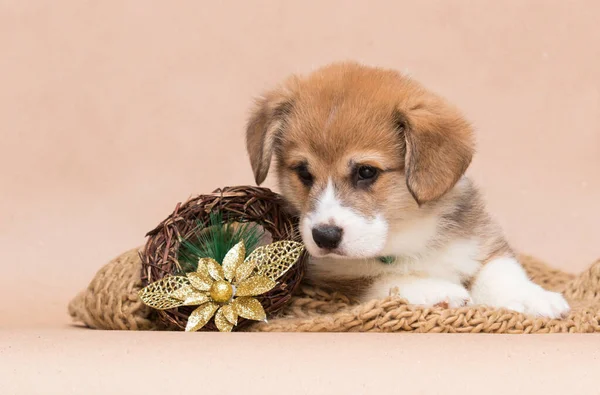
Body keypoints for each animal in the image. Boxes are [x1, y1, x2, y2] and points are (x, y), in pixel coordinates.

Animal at [245, 62, 572, 318]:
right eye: (303, 172)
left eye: (366, 172)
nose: (324, 237)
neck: (406, 234)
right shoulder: (331, 275)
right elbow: (381, 277)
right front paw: (437, 290)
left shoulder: (482, 239)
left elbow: (500, 270)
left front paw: (532, 298)